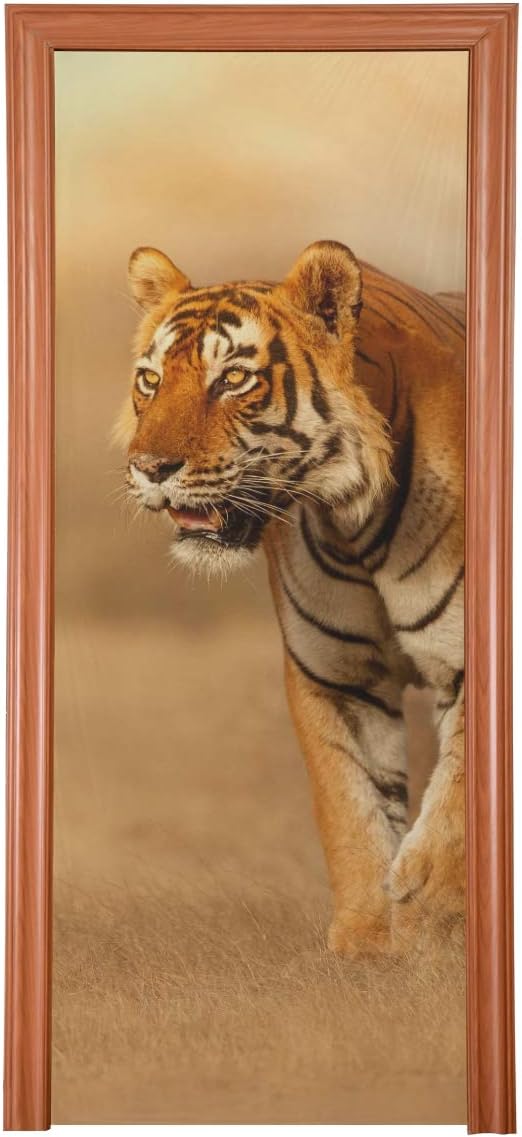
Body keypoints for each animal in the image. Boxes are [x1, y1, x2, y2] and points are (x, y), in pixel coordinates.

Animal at [117, 241, 465, 955]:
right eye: (150, 380)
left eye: (232, 380)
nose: (149, 468)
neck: (355, 523)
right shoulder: (337, 677)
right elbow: (352, 807)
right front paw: (367, 942)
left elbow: (461, 797)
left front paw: (425, 911)